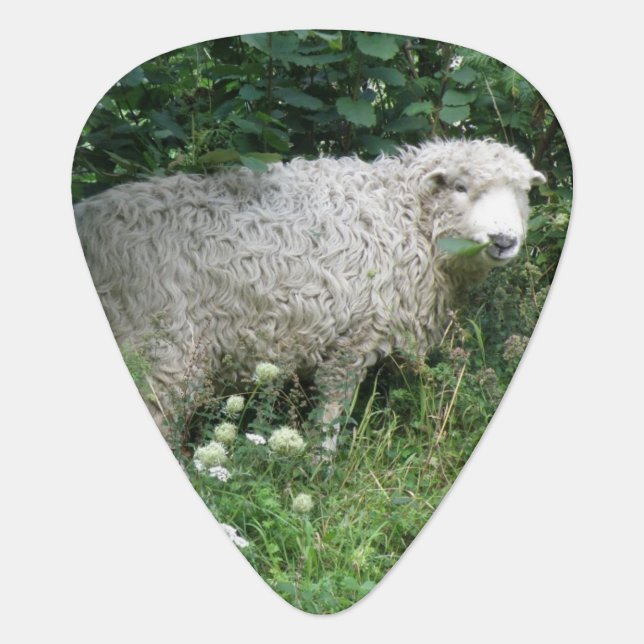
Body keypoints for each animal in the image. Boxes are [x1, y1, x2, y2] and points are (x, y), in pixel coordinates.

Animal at [74, 138, 545, 449]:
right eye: (460, 187)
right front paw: (321, 468)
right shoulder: (352, 339)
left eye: (523, 193)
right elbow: (331, 416)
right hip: (162, 346)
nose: (504, 240)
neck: (402, 215)